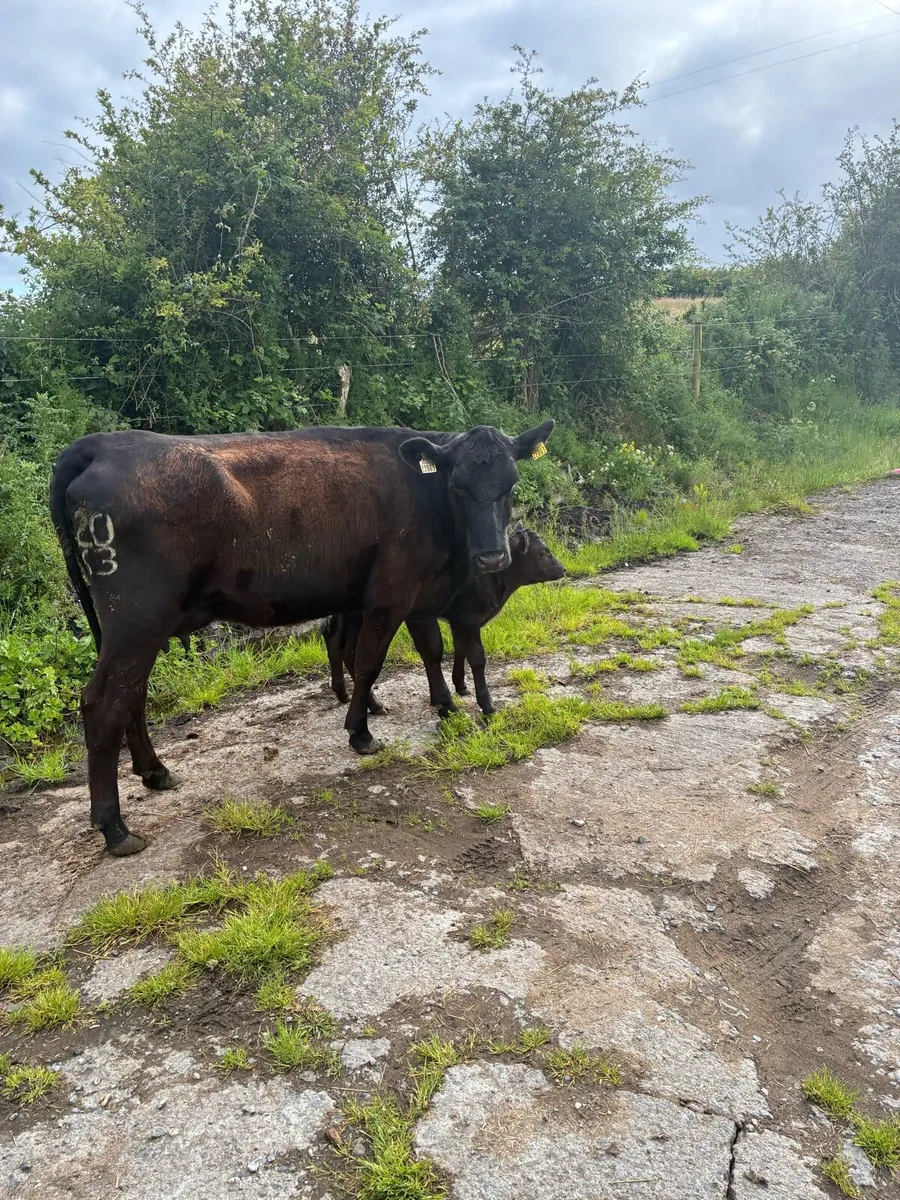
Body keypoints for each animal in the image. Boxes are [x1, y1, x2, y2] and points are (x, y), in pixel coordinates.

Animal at [322, 524, 566, 718]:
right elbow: (474, 657)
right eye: (544, 552)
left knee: (339, 643)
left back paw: (345, 693)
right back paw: (371, 703)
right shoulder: (466, 619)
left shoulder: (459, 620)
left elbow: (458, 649)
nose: (563, 569)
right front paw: (485, 705)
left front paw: (459, 686)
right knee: (348, 648)